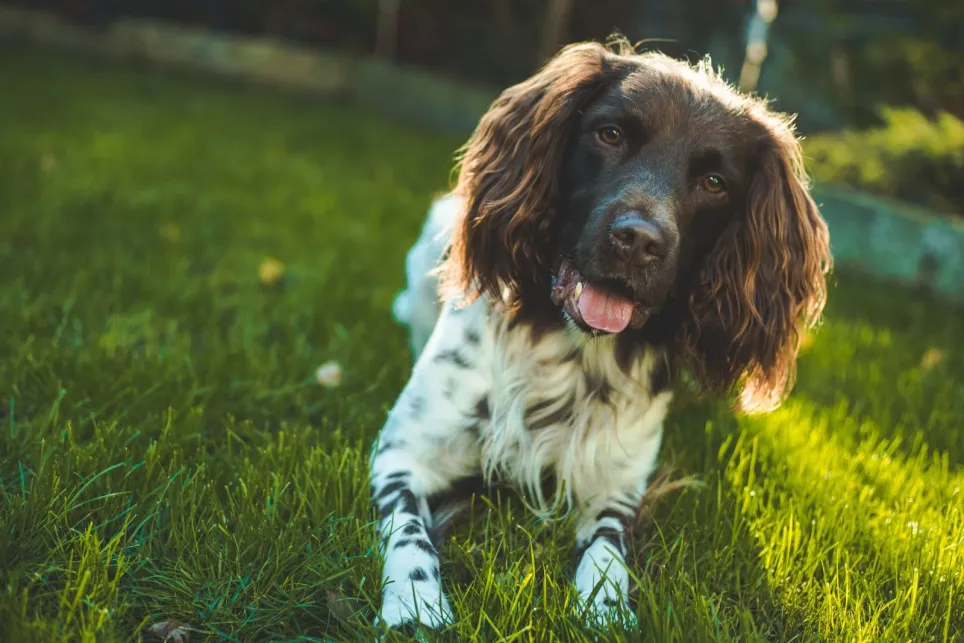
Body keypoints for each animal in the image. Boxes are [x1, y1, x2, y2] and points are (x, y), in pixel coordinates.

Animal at [370, 37, 828, 632]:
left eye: (714, 182)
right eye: (610, 134)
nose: (639, 241)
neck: (569, 348)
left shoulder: (619, 484)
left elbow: (608, 548)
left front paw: (606, 607)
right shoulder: (403, 453)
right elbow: (408, 529)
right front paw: (415, 599)